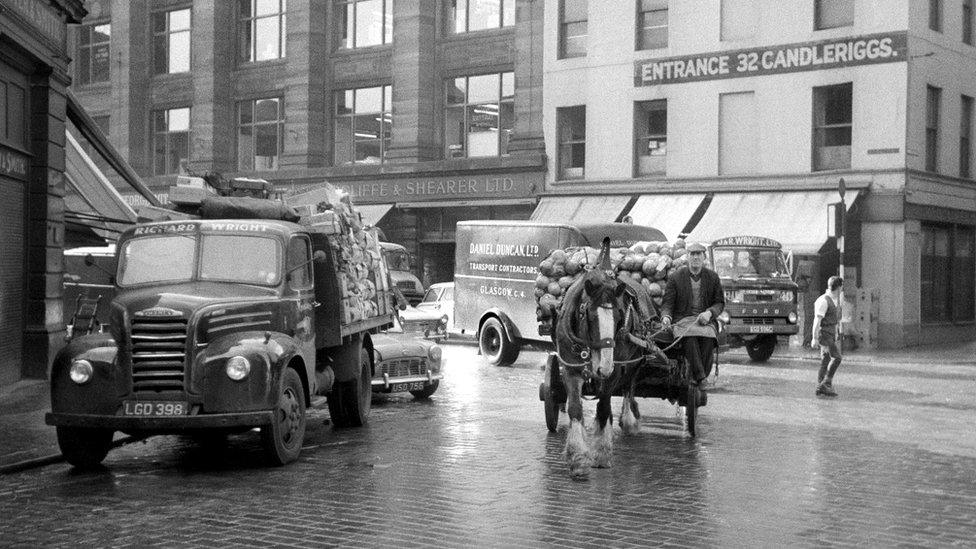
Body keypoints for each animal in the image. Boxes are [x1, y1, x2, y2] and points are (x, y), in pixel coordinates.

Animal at [552, 238, 668, 478]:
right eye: (588, 315)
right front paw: (578, 457)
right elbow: (575, 408)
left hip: (634, 362)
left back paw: (629, 419)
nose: (603, 368)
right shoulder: (570, 367)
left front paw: (602, 453)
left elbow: (604, 407)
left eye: (619, 316)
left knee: (628, 387)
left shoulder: (615, 370)